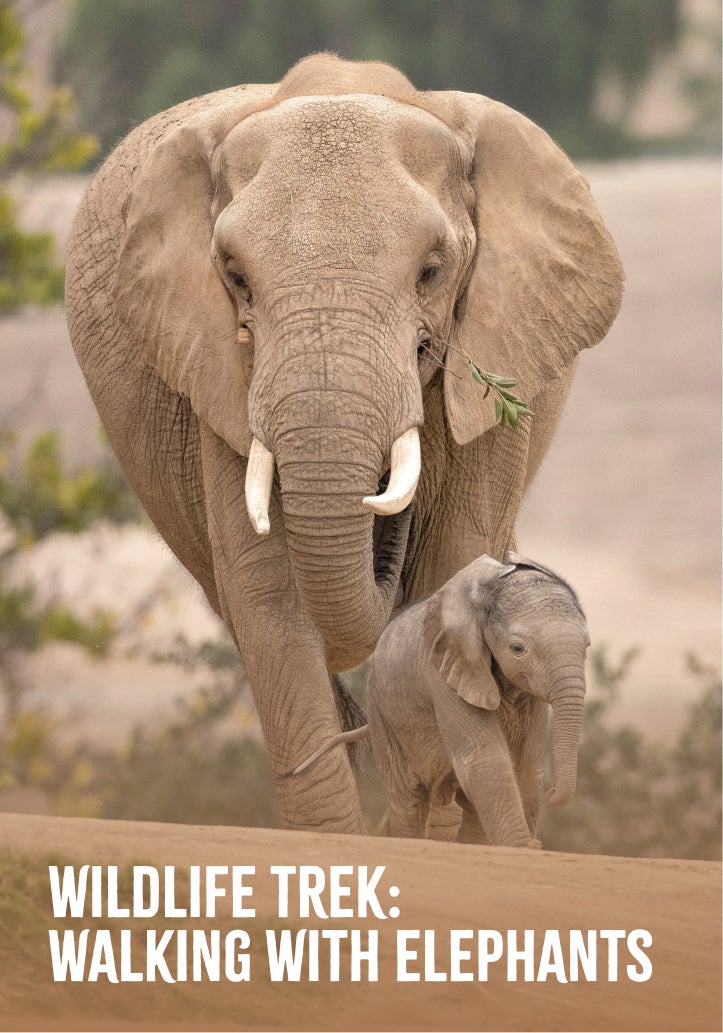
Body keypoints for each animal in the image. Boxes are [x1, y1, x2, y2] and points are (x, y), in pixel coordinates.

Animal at [65, 53, 623, 834]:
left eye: (431, 271)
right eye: (234, 276)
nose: (385, 512)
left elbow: (455, 560)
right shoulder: (219, 375)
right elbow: (268, 597)